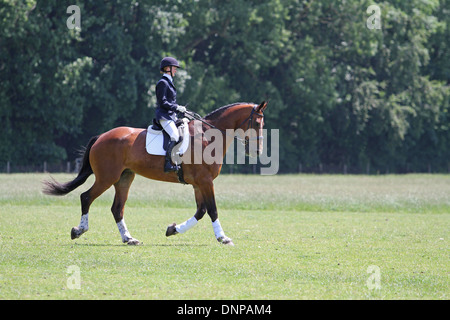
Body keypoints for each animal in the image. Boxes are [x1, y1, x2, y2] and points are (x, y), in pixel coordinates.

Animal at [42, 101, 268, 246]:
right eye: (257, 123)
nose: (256, 151)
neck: (208, 136)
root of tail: (102, 136)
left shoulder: (198, 183)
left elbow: (201, 211)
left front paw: (173, 229)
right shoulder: (205, 182)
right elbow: (212, 210)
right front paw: (223, 238)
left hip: (124, 178)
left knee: (117, 208)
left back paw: (129, 239)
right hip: (107, 177)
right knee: (86, 197)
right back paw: (79, 230)